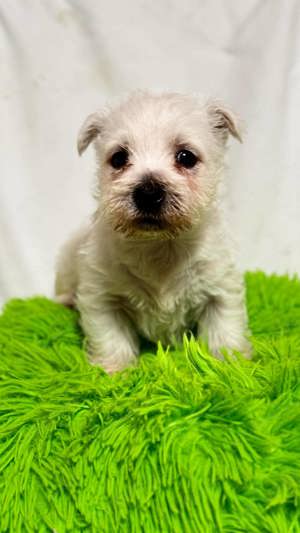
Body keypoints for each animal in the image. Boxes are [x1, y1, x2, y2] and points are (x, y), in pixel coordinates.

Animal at [55, 91, 250, 372]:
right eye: (118, 158)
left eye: (186, 157)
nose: (148, 193)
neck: (159, 246)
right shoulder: (102, 298)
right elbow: (111, 338)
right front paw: (113, 371)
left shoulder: (220, 288)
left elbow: (224, 330)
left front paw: (229, 366)